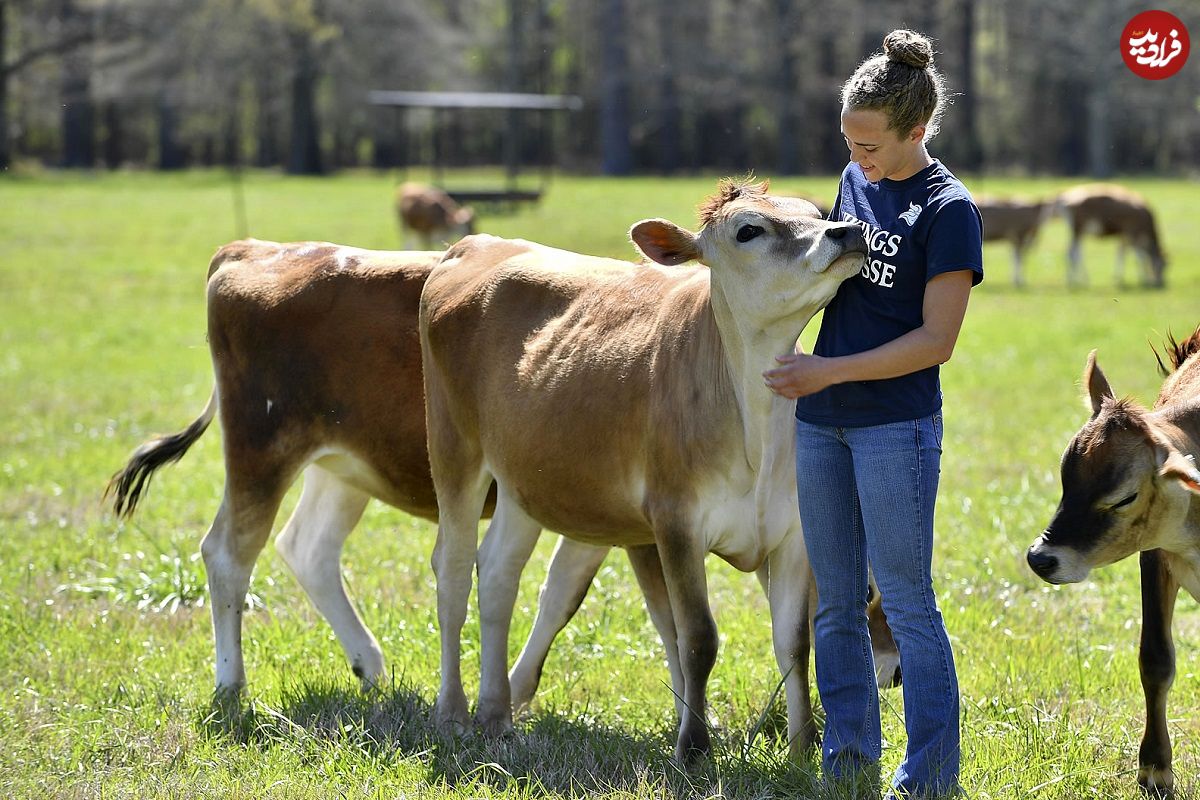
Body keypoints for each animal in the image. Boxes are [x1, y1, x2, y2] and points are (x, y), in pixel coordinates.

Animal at [417, 181, 868, 762]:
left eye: (816, 213)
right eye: (748, 229)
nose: (847, 231)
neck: (756, 432)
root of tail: (473, 244)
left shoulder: (792, 531)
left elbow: (793, 642)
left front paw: (803, 749)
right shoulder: (675, 522)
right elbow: (695, 637)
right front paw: (693, 747)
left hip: (524, 479)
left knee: (497, 573)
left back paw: (496, 715)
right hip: (454, 448)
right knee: (452, 571)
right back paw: (452, 710)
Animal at [1027, 328, 1200, 796]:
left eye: (1123, 497)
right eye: (1066, 480)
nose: (1040, 558)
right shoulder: (1155, 555)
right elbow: (1156, 660)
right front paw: (1155, 769)